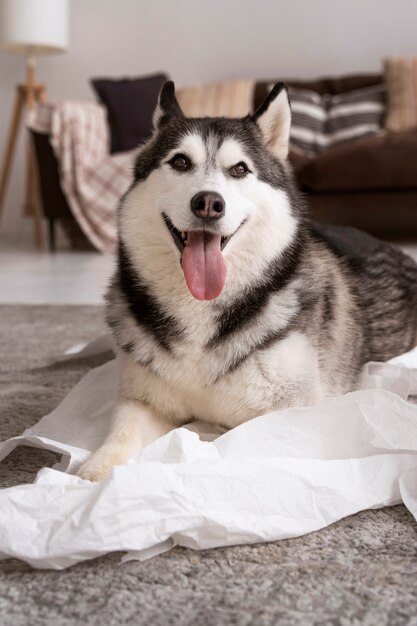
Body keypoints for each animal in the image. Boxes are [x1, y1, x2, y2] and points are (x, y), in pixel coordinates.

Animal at [77, 80, 416, 480]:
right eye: (180, 162)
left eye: (239, 169)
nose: (208, 203)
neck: (201, 310)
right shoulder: (143, 399)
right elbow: (122, 431)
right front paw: (91, 473)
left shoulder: (287, 414)